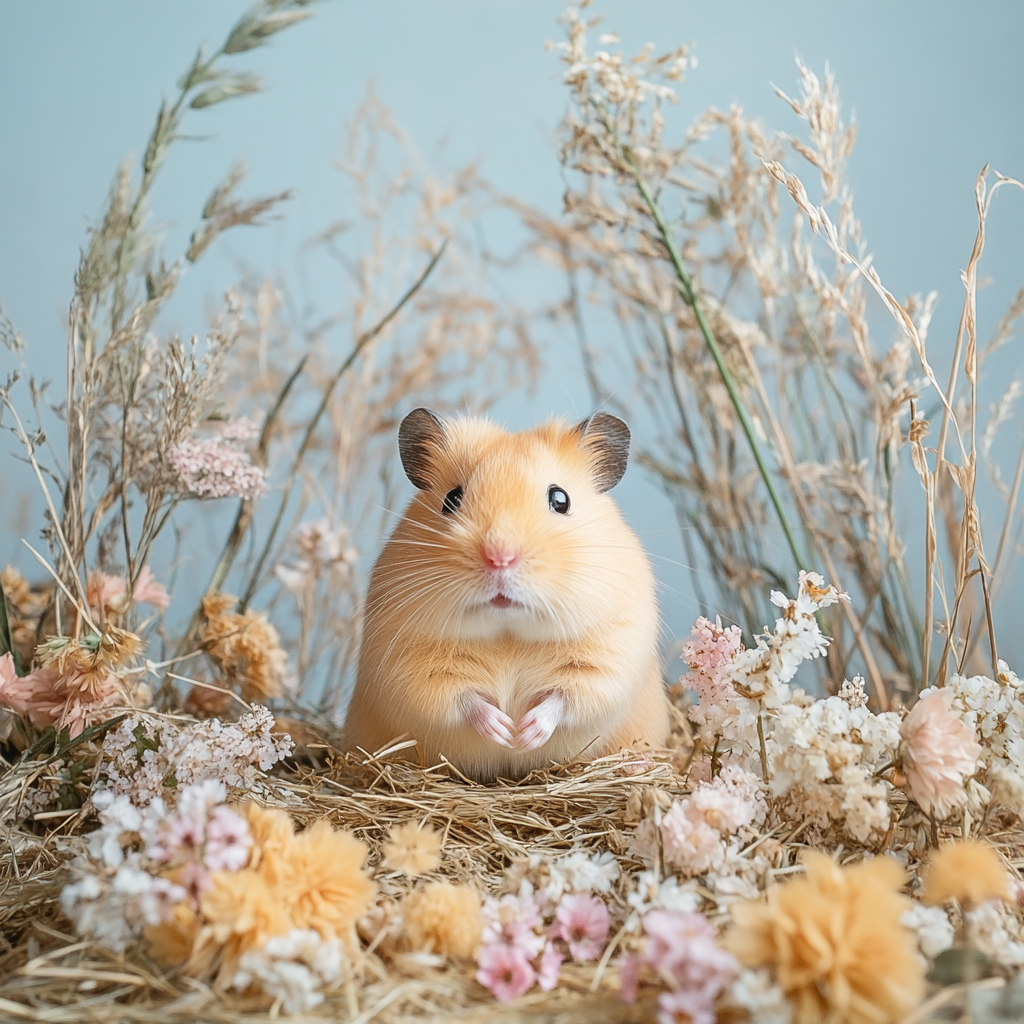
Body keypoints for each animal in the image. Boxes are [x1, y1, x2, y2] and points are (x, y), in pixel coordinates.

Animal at [343, 409, 669, 782]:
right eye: (452, 499)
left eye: (561, 500)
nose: (500, 557)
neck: (507, 633)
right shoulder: (409, 665)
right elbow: (458, 699)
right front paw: (503, 731)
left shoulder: (610, 656)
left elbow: (566, 698)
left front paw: (524, 734)